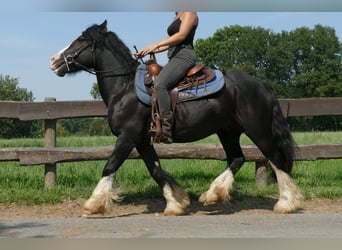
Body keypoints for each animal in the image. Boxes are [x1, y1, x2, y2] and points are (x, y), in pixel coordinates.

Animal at [48, 20, 302, 216]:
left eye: (80, 41)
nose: (53, 61)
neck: (124, 88)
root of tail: (261, 84)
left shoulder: (127, 137)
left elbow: (110, 166)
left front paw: (94, 204)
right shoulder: (142, 141)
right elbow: (156, 170)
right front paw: (176, 203)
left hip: (258, 129)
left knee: (275, 159)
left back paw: (286, 203)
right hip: (228, 131)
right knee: (237, 158)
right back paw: (213, 194)